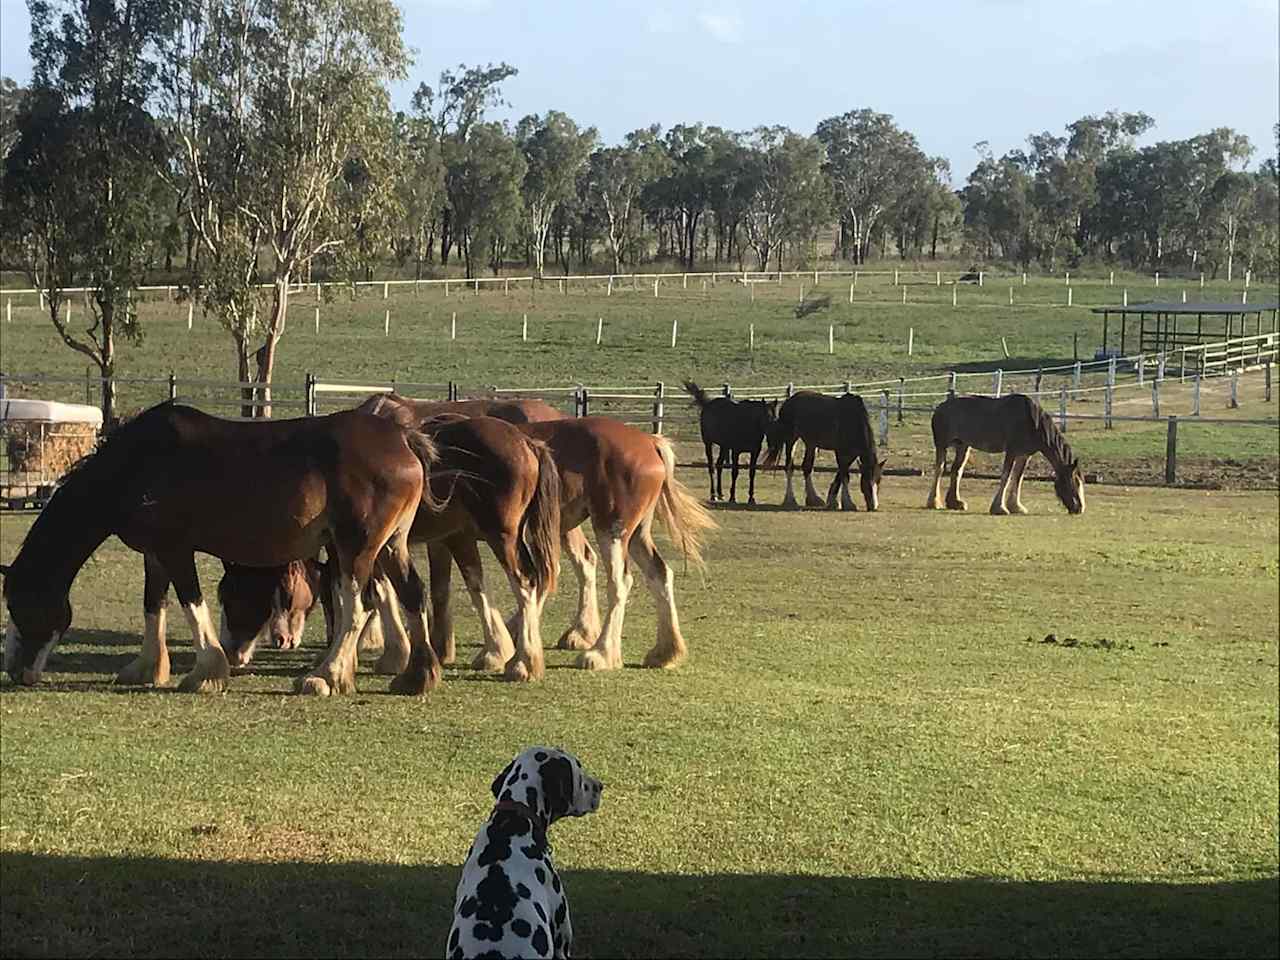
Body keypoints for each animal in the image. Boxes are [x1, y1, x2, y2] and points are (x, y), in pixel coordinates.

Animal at [0, 399, 435, 701]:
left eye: (20, 604)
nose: (16, 670)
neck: (136, 464)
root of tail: (402, 439)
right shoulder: (154, 554)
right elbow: (153, 605)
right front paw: (147, 668)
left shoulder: (175, 550)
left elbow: (191, 603)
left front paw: (206, 673)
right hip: (389, 547)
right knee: (412, 594)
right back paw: (416, 675)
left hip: (356, 550)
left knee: (358, 608)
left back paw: (324, 677)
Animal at [926, 391, 1085, 519]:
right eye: (1075, 482)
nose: (1080, 508)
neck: (1032, 422)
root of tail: (940, 408)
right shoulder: (1012, 451)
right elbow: (1006, 476)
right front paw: (1000, 508)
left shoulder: (1025, 455)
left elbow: (1018, 478)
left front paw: (1016, 507)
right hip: (941, 445)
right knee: (939, 469)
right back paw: (934, 502)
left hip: (963, 446)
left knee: (956, 471)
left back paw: (955, 503)